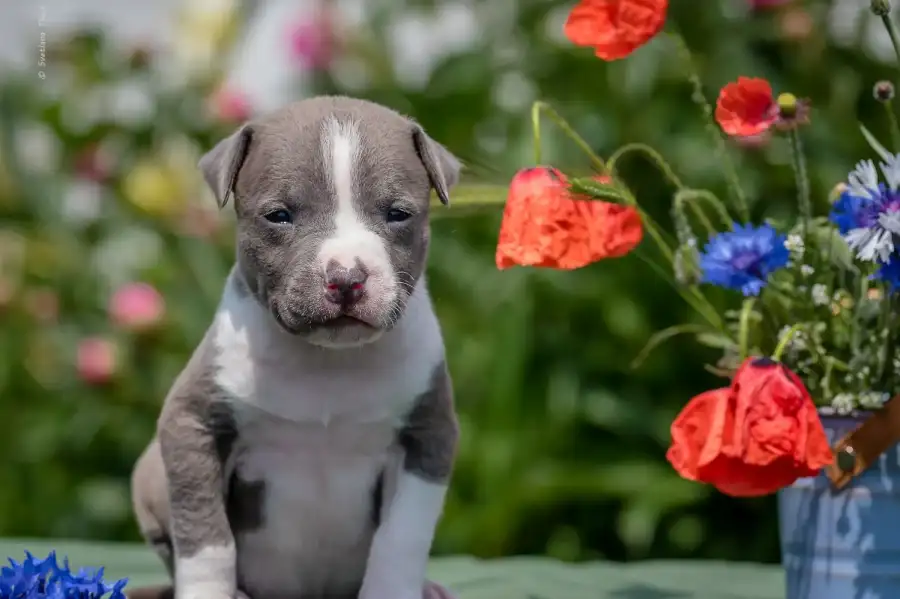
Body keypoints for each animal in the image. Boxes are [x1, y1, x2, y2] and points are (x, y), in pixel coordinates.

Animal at [132, 96, 464, 599]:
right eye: (279, 215)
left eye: (397, 214)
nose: (347, 278)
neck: (325, 360)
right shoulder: (191, 424)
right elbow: (206, 537)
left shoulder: (428, 435)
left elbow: (401, 538)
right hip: (149, 471)